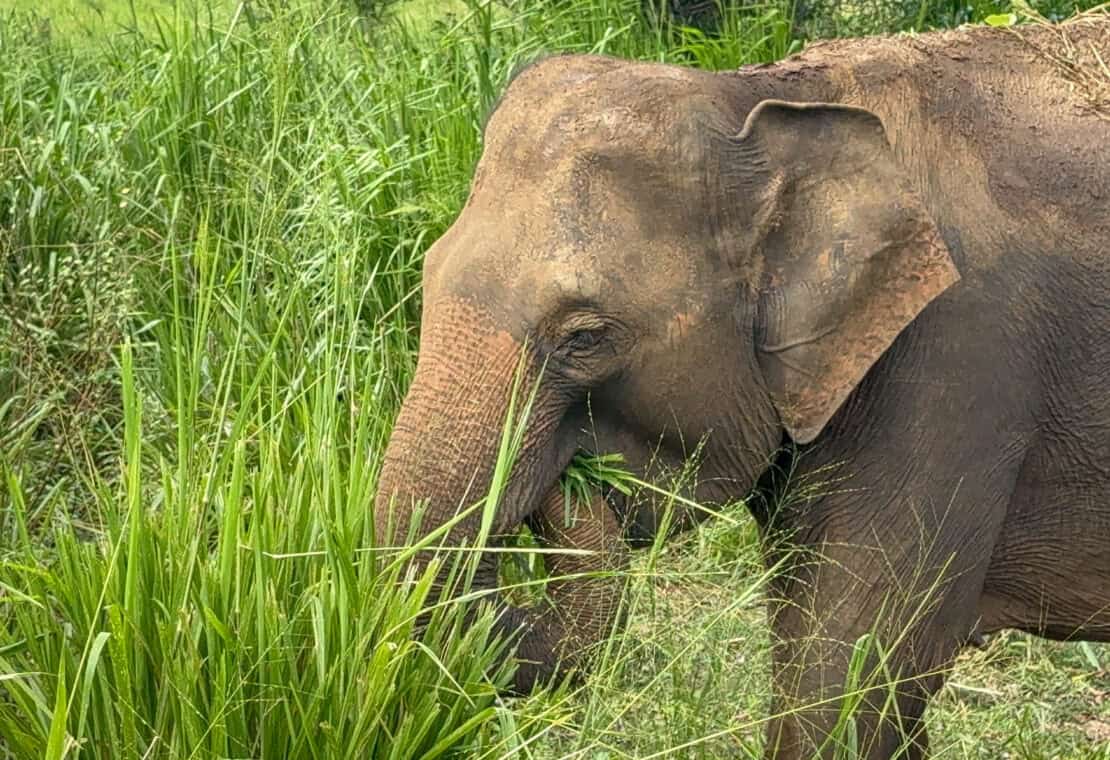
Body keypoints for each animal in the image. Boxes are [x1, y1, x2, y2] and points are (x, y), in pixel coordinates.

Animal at [375, 14, 1110, 759]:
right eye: (427, 274)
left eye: (584, 336)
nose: (563, 476)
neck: (766, 96)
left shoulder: (955, 367)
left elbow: (845, 686)